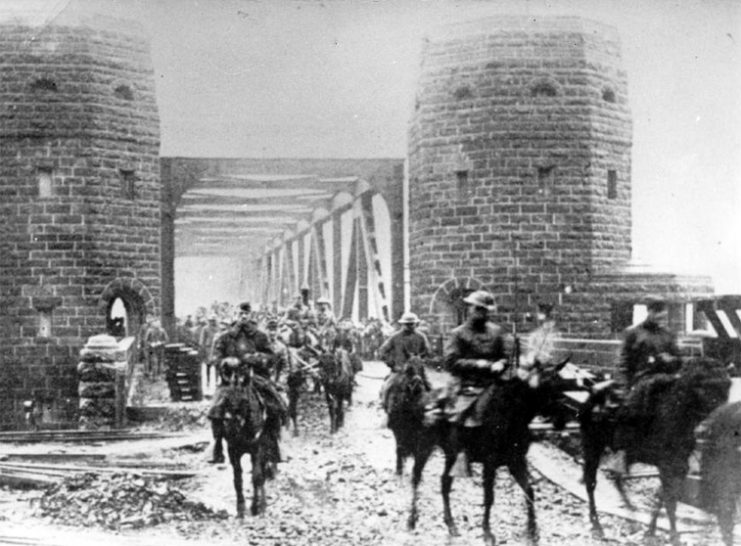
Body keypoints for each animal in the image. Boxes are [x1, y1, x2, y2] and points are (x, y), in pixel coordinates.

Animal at [404, 356, 572, 544]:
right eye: (547, 386)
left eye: (562, 385)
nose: (564, 417)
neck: (510, 416)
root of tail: (423, 398)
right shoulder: (490, 464)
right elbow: (489, 497)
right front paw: (487, 532)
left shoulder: (516, 462)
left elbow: (529, 491)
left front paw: (532, 531)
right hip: (424, 447)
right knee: (416, 477)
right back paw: (412, 520)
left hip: (451, 455)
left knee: (444, 483)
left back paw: (451, 525)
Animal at [580, 354, 728, 540]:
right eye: (704, 386)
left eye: (725, 387)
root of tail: (591, 397)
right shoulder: (667, 466)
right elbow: (669, 501)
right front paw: (673, 535)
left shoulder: (679, 466)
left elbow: (663, 496)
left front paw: (651, 530)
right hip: (592, 447)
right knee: (591, 482)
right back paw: (597, 524)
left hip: (626, 453)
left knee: (618, 478)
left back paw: (631, 515)